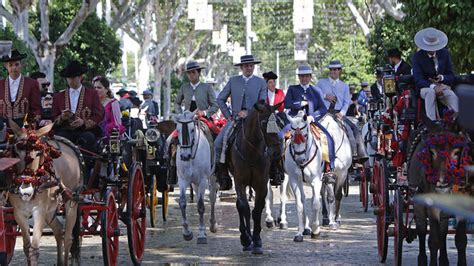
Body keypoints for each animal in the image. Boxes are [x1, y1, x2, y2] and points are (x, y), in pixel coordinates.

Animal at [175, 111, 218, 244]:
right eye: (177, 130)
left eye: (192, 129)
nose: (185, 156)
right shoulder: (183, 180)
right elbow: (182, 202)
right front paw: (187, 232)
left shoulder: (203, 179)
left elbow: (200, 205)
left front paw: (201, 234)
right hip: (194, 182)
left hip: (211, 177)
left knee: (212, 197)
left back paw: (212, 225)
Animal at [227, 102, 282, 254]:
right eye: (264, 123)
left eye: (278, 122)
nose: (276, 152)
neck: (251, 152)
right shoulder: (239, 182)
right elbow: (244, 208)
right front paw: (246, 238)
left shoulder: (261, 184)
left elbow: (257, 210)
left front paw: (257, 241)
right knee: (241, 207)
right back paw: (246, 239)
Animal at [284, 111, 324, 242]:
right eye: (291, 136)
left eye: (305, 136)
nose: (299, 160)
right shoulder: (294, 180)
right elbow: (299, 205)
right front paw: (299, 232)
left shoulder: (316, 180)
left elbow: (316, 203)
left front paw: (316, 229)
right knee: (303, 198)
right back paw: (306, 227)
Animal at [408, 125, 470, 266]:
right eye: (432, 152)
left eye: (456, 152)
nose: (442, 183)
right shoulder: (432, 206)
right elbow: (433, 240)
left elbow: (461, 239)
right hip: (418, 203)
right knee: (422, 230)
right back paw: (422, 259)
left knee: (443, 231)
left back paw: (443, 260)